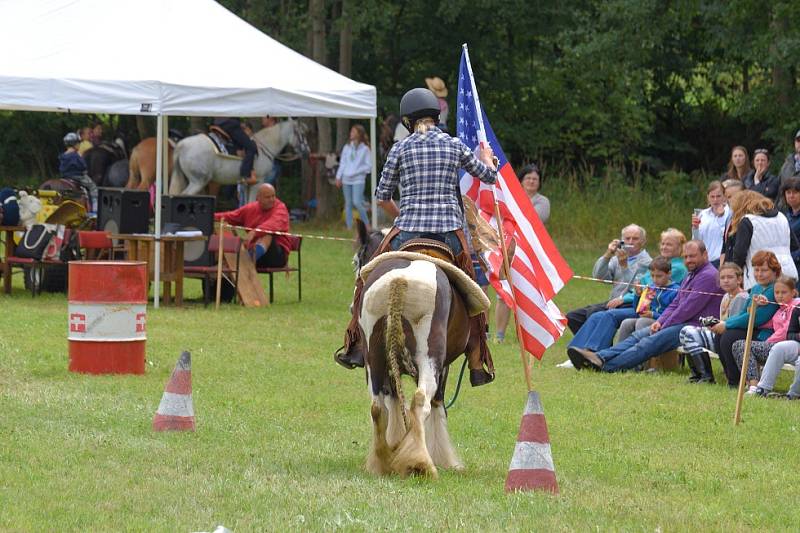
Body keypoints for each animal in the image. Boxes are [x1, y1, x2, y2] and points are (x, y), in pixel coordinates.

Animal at [167, 118, 308, 200]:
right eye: (302, 134)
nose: (307, 151)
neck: (264, 146)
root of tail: (182, 145)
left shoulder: (247, 185)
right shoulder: (258, 182)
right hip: (198, 182)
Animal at [354, 220, 490, 478]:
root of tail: (400, 281)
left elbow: (393, 401)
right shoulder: (443, 367)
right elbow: (438, 406)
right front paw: (445, 459)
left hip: (374, 359)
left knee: (378, 407)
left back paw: (382, 462)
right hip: (430, 359)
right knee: (421, 401)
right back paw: (420, 463)